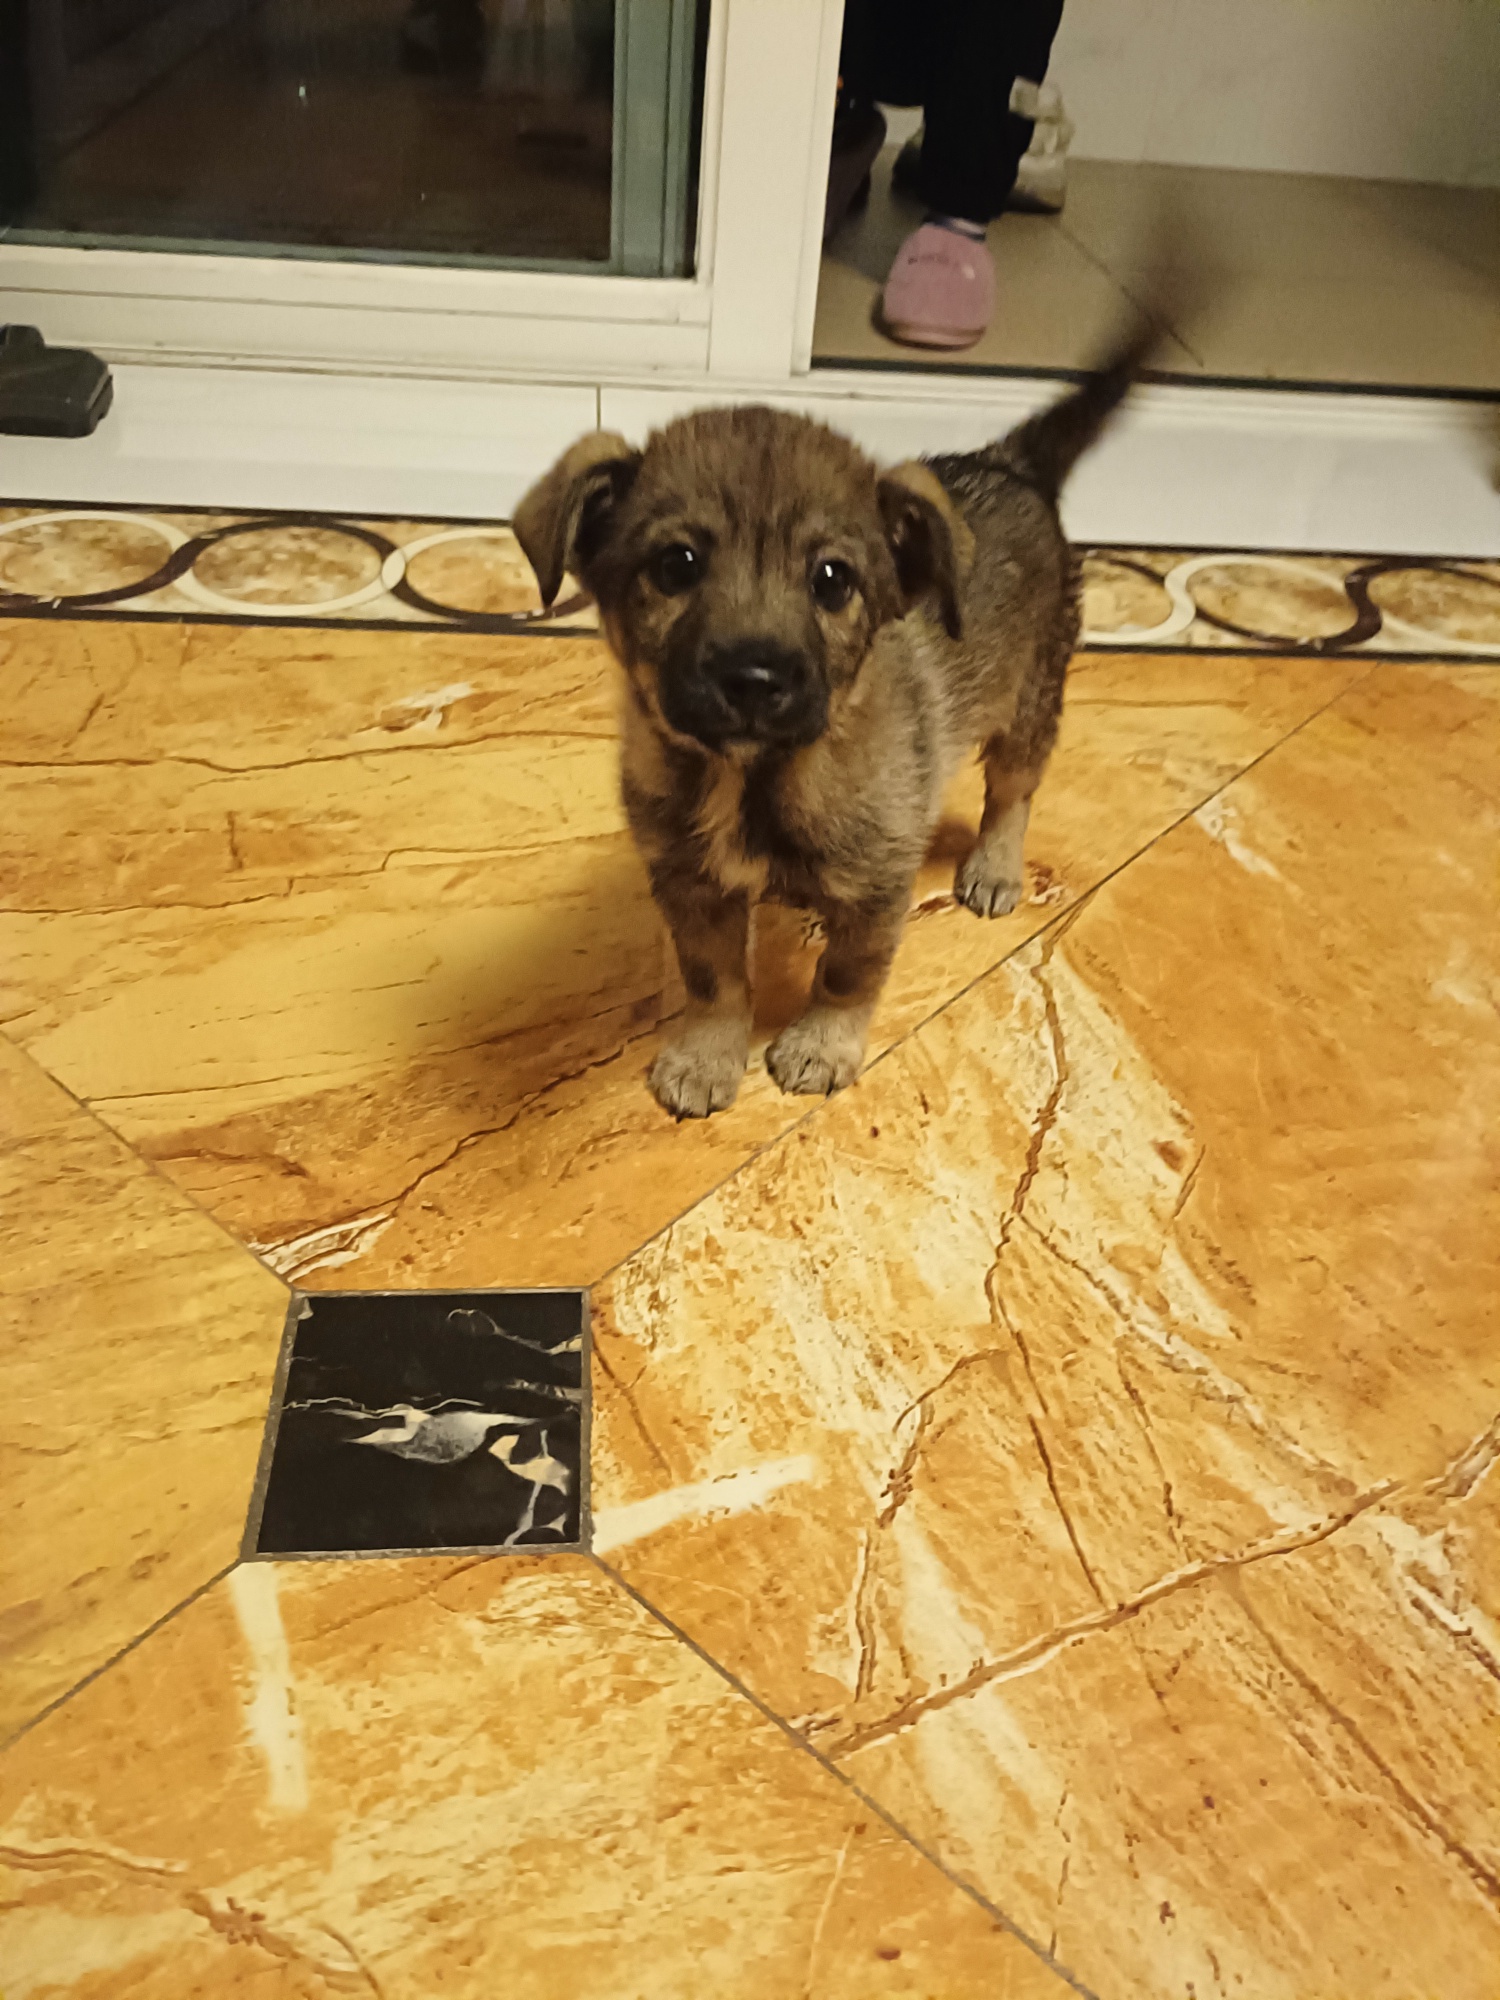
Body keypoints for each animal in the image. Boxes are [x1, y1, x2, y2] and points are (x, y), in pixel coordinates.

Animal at [514, 328, 1153, 1119]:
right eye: (676, 564)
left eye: (832, 579)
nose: (755, 678)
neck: (753, 777)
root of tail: (1008, 464)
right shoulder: (693, 886)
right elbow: (715, 981)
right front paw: (706, 1057)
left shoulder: (878, 887)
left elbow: (849, 972)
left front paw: (821, 1046)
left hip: (1031, 699)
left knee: (1013, 792)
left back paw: (995, 867)